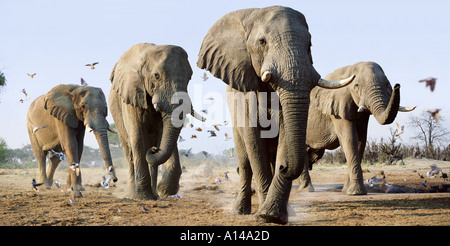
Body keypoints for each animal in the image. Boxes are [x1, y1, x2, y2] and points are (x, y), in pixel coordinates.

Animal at [109, 42, 204, 200]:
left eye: (190, 77)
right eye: (156, 76)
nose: (154, 150)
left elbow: (162, 134)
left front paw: (163, 191)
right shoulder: (132, 93)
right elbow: (137, 137)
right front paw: (142, 197)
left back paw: (155, 194)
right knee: (129, 151)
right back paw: (131, 194)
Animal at [197, 5, 356, 225]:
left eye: (310, 44)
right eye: (262, 42)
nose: (284, 167)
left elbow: (284, 136)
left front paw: (273, 215)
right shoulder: (245, 93)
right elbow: (255, 144)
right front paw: (264, 216)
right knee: (245, 163)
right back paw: (240, 210)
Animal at [298, 62, 414, 195]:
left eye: (386, 84)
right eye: (357, 86)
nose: (397, 85)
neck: (349, 69)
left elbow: (360, 141)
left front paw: (346, 191)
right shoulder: (337, 110)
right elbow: (350, 139)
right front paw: (356, 193)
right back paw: (307, 189)